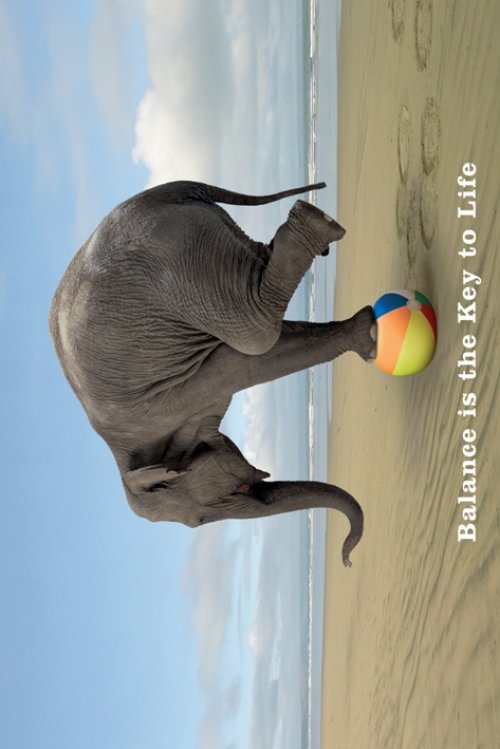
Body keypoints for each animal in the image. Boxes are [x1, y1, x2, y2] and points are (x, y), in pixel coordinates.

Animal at [49, 180, 376, 567]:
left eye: (198, 520)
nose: (348, 560)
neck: (122, 460)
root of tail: (168, 191)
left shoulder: (164, 403)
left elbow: (245, 361)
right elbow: (259, 352)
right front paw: (365, 333)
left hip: (182, 261)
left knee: (254, 329)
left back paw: (316, 222)